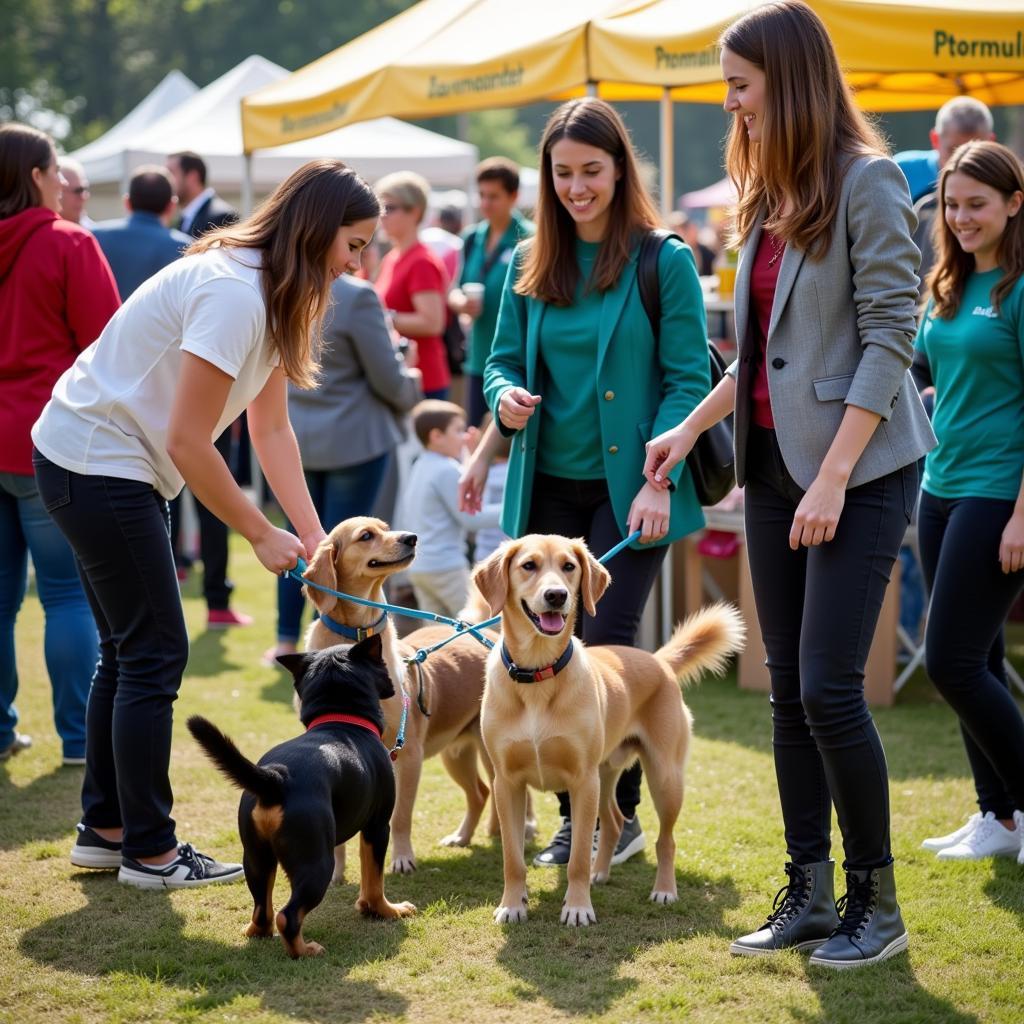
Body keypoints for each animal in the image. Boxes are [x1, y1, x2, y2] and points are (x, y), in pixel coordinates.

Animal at [188, 634, 415, 954]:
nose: (396, 684)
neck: (341, 718)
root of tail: (276, 779)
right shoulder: (377, 827)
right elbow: (373, 879)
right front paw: (385, 910)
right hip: (315, 860)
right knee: (288, 915)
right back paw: (305, 950)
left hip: (256, 857)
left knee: (262, 910)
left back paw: (256, 933)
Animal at [299, 520, 536, 880]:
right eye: (366, 535)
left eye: (385, 527)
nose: (411, 537)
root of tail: (483, 632)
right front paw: (337, 872)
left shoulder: (407, 755)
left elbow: (400, 816)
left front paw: (401, 859)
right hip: (458, 753)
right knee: (483, 793)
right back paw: (467, 836)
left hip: (494, 750)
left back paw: (522, 830)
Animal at [471, 536, 745, 929]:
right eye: (528, 566)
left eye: (569, 566)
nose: (556, 595)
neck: (538, 674)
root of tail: (658, 660)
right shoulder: (507, 783)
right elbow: (512, 858)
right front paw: (512, 905)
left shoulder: (581, 781)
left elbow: (577, 858)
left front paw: (577, 907)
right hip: (604, 774)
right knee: (614, 823)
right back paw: (601, 873)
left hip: (663, 777)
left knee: (666, 841)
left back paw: (664, 890)